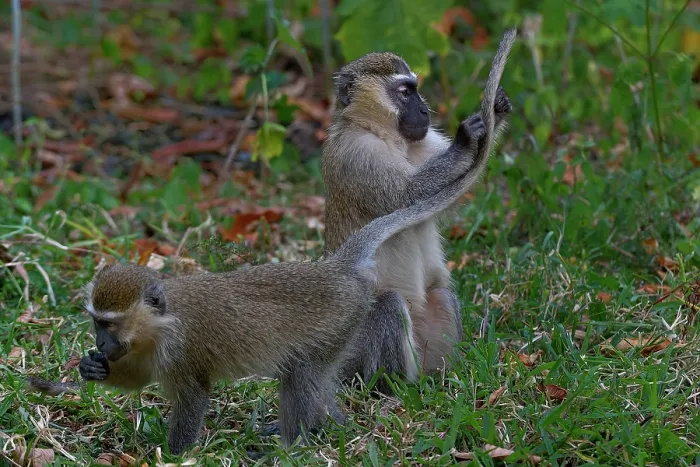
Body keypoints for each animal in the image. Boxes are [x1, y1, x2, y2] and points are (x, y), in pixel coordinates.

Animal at [25, 149, 489, 456]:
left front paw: (173, 456)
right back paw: (332, 427)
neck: (160, 324)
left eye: (110, 324)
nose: (101, 344)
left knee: (301, 373)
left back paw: (294, 444)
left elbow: (193, 398)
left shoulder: (182, 353)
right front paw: (93, 369)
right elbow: (139, 380)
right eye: (96, 322)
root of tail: (335, 270)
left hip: (341, 320)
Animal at [321, 28, 517, 391]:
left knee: (441, 296)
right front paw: (466, 140)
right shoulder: (356, 153)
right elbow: (407, 196)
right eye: (404, 93)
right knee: (388, 307)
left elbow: (445, 203)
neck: (385, 136)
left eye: (416, 89)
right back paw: (394, 388)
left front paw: (496, 109)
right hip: (356, 349)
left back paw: (445, 377)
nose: (425, 110)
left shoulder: (423, 141)